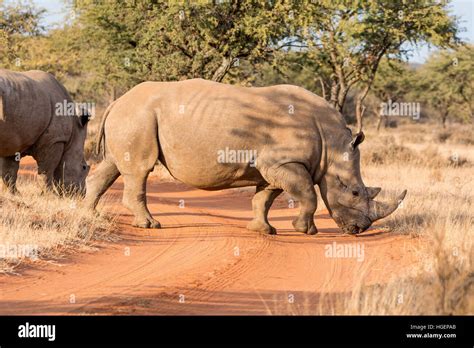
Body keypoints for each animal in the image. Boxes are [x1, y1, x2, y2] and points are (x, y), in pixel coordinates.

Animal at [84, 79, 404, 235]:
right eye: (354, 192)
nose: (359, 230)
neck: (332, 144)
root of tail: (117, 100)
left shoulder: (273, 166)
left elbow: (264, 198)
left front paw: (265, 230)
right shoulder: (283, 162)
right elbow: (308, 195)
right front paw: (306, 231)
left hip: (132, 116)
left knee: (113, 165)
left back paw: (90, 214)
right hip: (138, 116)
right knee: (139, 169)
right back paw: (150, 226)